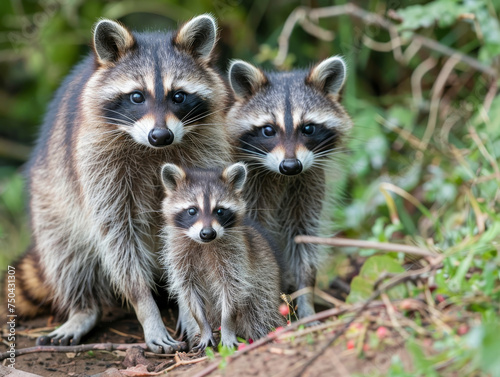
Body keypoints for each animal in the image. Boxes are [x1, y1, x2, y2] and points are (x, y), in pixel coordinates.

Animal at [11, 13, 230, 352]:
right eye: (137, 97)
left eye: (178, 96)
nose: (160, 135)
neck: (154, 149)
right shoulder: (98, 161)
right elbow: (116, 234)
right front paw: (147, 309)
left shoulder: (207, 147)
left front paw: (190, 309)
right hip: (50, 196)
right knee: (66, 251)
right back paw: (84, 308)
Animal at [227, 57, 352, 322]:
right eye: (268, 130)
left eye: (308, 128)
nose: (291, 165)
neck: (281, 176)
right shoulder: (246, 186)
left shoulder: (307, 183)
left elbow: (304, 242)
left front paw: (306, 299)